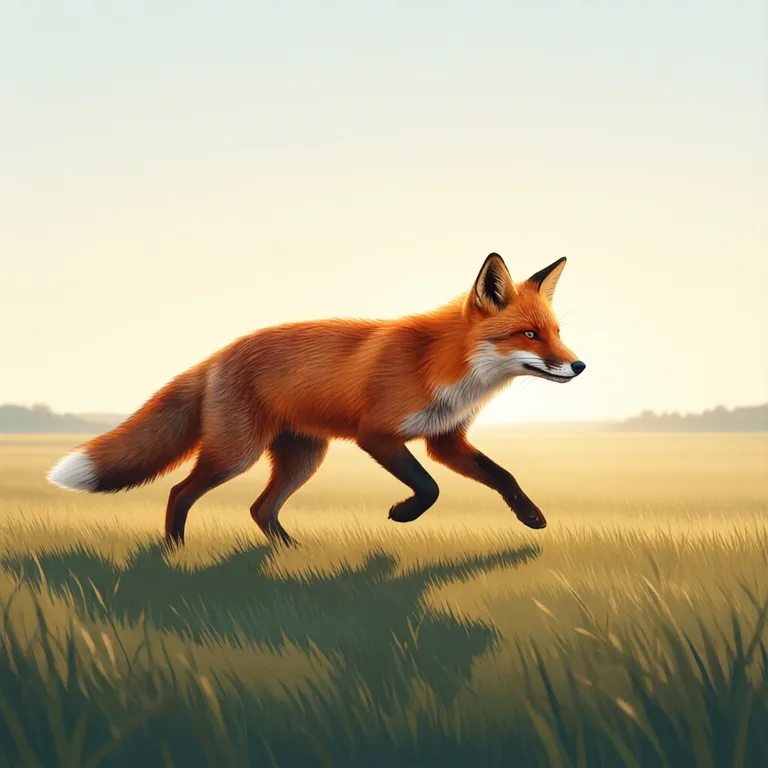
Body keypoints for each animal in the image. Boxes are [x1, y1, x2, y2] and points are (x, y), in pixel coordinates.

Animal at [47, 252, 586, 547]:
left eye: (557, 333)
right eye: (530, 334)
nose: (579, 366)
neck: (441, 364)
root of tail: (219, 353)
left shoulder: (445, 440)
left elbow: (503, 475)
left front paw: (531, 517)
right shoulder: (378, 435)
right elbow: (429, 488)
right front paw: (402, 513)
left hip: (304, 456)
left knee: (261, 509)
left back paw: (292, 553)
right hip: (235, 455)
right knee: (180, 492)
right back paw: (175, 553)